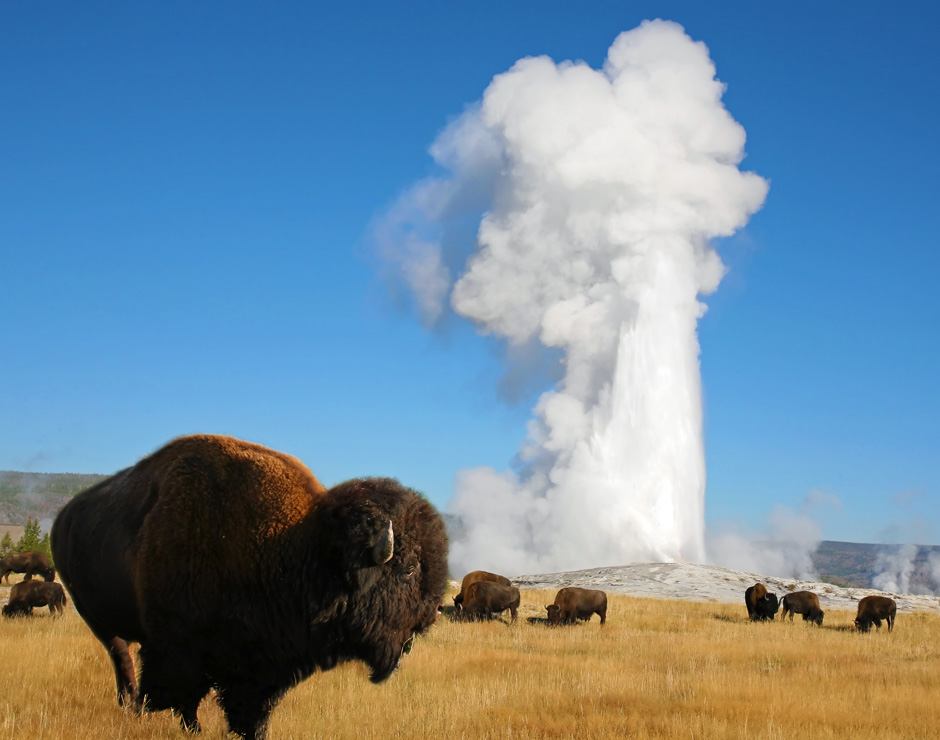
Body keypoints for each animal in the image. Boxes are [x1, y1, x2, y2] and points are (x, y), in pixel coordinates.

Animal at [51, 434, 448, 740]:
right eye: (408, 569)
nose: (428, 619)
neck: (302, 545)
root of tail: (62, 519)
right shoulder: (179, 649)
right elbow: (184, 694)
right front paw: (187, 726)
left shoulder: (261, 664)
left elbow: (249, 708)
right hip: (97, 620)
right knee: (121, 659)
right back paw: (132, 706)